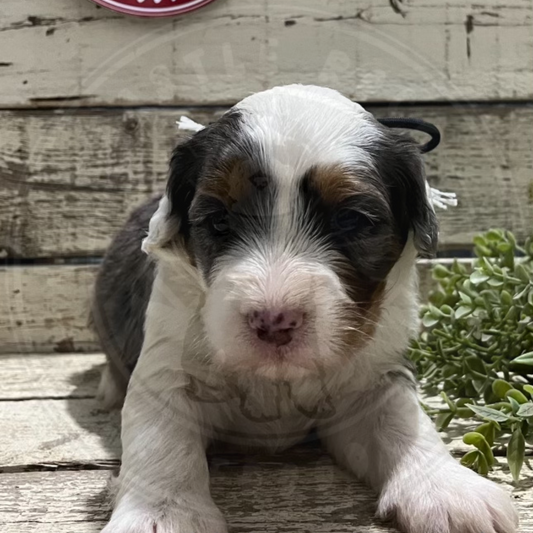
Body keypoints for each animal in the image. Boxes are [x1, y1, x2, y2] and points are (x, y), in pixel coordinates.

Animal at [94, 84, 516, 532]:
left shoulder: (375, 373)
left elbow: (402, 418)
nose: (274, 321)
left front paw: (448, 489)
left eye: (350, 220)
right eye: (220, 221)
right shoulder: (166, 365)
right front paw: (161, 514)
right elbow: (161, 437)